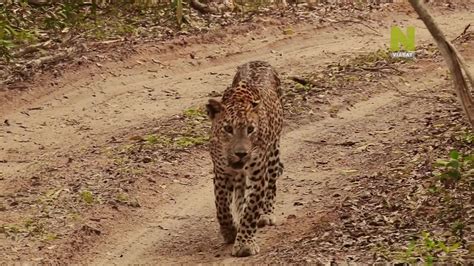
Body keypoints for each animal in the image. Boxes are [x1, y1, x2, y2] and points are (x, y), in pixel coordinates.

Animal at [205, 60, 286, 258]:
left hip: (273, 153)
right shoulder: (221, 173)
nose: (241, 153)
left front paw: (244, 245)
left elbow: (252, 209)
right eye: (228, 129)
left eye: (250, 129)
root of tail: (258, 60)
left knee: (272, 185)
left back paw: (266, 215)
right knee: (240, 191)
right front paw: (229, 232)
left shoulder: (258, 175)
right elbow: (222, 207)